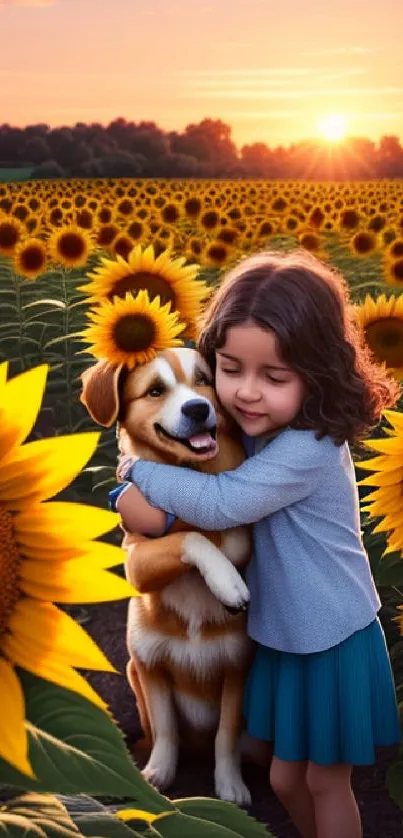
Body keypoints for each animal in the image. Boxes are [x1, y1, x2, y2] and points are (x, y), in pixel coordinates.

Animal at [79, 350, 252, 808]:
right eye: (155, 390)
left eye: (204, 380)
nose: (198, 409)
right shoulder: (149, 659)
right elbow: (166, 729)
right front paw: (158, 775)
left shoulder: (239, 670)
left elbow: (227, 735)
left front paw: (230, 785)